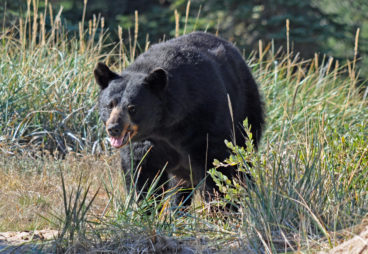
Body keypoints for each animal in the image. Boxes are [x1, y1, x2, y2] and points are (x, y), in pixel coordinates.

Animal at [93, 31, 264, 205]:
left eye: (132, 108)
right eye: (109, 105)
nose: (114, 128)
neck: (165, 128)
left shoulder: (207, 123)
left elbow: (218, 166)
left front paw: (223, 205)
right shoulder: (144, 145)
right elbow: (142, 175)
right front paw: (145, 205)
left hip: (246, 112)